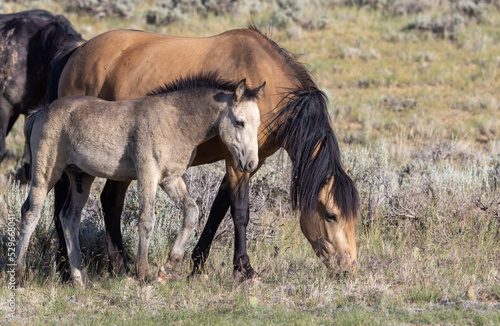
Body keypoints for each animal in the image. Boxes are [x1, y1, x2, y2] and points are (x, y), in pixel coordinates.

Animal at [47, 26, 360, 282]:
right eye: (331, 215)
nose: (349, 267)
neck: (269, 85)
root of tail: (76, 52)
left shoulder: (249, 162)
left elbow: (218, 209)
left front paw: (197, 265)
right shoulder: (236, 161)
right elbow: (240, 212)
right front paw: (245, 270)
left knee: (108, 201)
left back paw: (116, 266)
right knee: (74, 204)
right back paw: (72, 268)